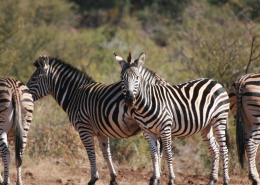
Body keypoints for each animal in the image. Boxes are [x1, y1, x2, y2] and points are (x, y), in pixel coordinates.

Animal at [26, 54, 168, 184]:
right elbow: (106, 154)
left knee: (157, 149)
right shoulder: (101, 132)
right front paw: (113, 178)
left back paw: (155, 178)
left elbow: (91, 153)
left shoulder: (84, 129)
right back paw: (156, 177)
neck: (74, 95)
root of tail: (160, 81)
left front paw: (93, 179)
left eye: (34, 79)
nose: (25, 93)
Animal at [118, 51, 230, 185]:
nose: (129, 100)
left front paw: (171, 179)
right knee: (215, 148)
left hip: (219, 118)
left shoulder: (165, 128)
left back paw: (226, 180)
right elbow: (154, 155)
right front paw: (155, 179)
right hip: (206, 125)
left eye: (137, 77)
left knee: (224, 149)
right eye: (122, 78)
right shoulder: (147, 132)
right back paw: (212, 180)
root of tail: (215, 82)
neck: (146, 104)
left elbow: (167, 154)